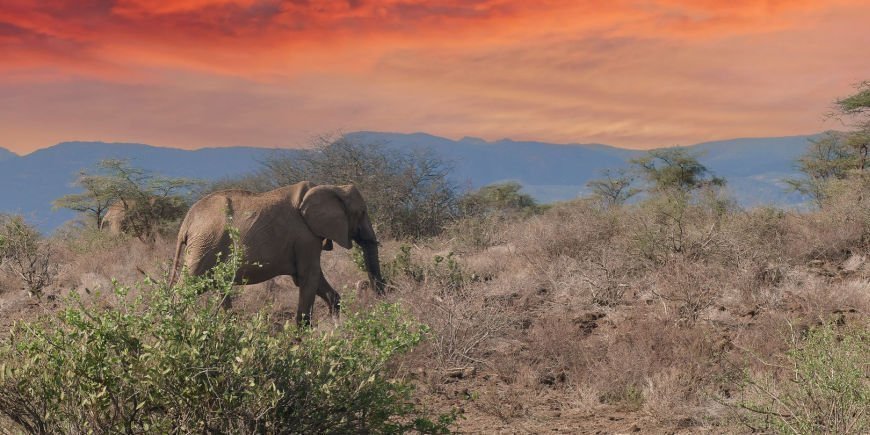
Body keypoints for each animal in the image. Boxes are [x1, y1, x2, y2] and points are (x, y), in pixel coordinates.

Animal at [169, 182, 386, 326]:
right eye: (362, 212)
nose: (378, 297)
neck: (331, 187)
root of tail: (186, 222)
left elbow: (311, 279)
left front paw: (335, 324)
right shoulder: (305, 237)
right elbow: (309, 277)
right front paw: (302, 337)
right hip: (205, 244)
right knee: (188, 286)